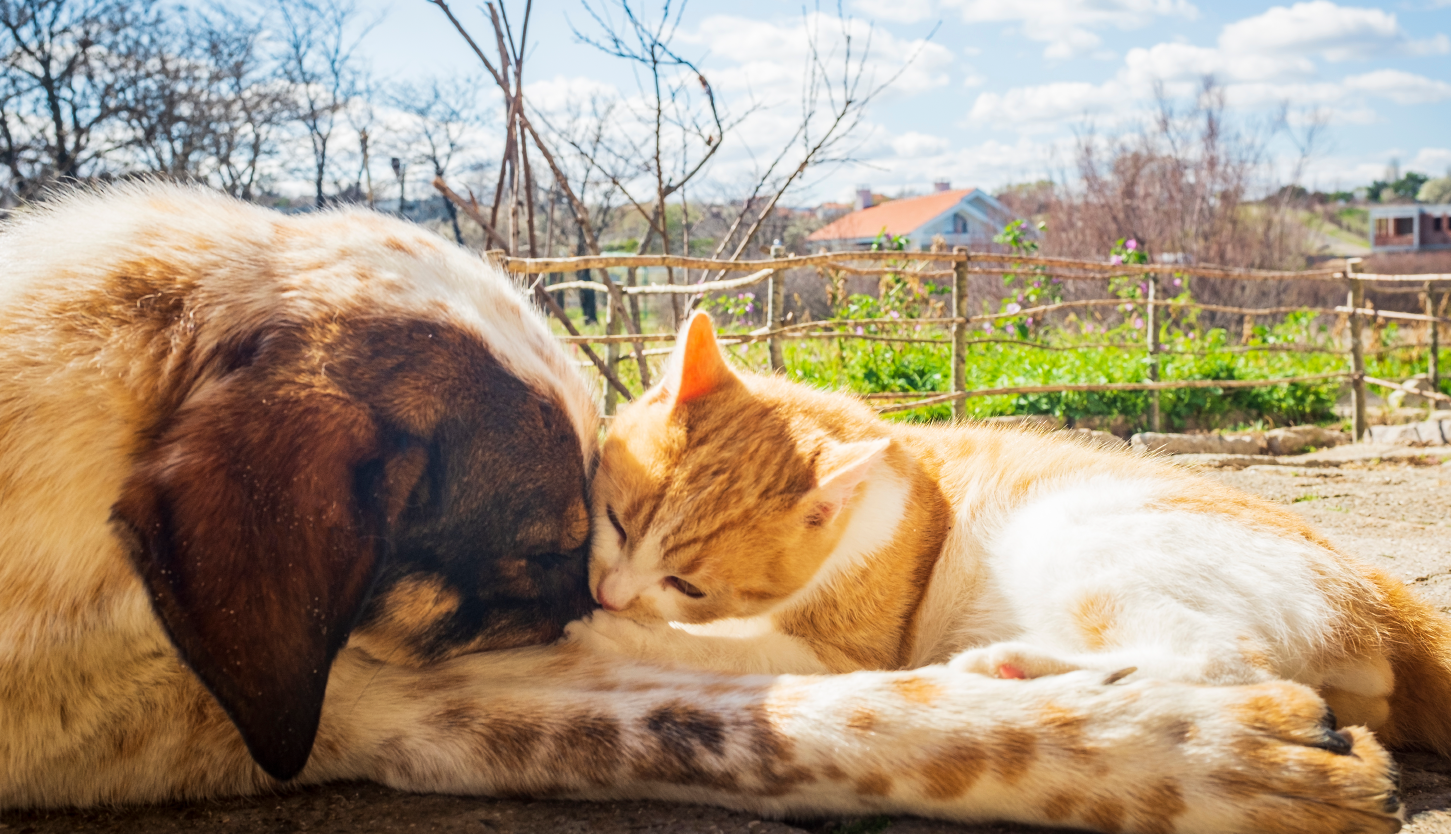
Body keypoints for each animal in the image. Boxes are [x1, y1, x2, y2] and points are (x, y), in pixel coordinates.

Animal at [571, 310, 1451, 754]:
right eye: (613, 520)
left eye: (687, 584)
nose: (605, 592)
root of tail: (1386, 603)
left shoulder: (838, 653)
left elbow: (718, 644)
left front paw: (611, 633)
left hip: (1070, 536)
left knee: (1231, 663)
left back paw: (1013, 669)